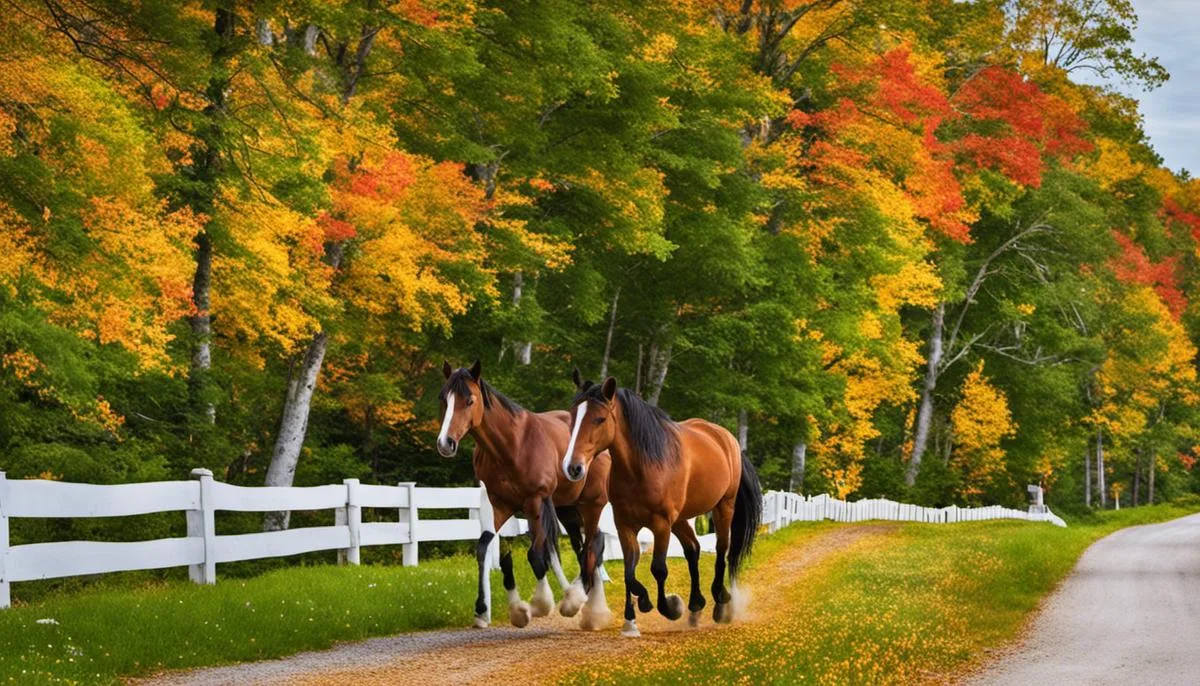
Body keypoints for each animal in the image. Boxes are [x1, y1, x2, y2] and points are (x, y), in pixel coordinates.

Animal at [436, 360, 613, 631]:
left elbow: (536, 555)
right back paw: (579, 599)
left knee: (594, 544)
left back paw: (588, 607)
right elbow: (485, 548)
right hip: (566, 507)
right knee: (579, 545)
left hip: (591, 503)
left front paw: (539, 604)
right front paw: (485, 610)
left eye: (469, 400)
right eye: (444, 399)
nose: (445, 443)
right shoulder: (500, 504)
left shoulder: (535, 501)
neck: (513, 444)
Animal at [560, 371, 762, 637]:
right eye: (573, 418)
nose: (573, 467)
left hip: (723, 508)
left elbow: (658, 568)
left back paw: (720, 603)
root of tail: (726, 439)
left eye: (600, 419)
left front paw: (670, 606)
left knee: (721, 549)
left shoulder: (661, 524)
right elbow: (629, 571)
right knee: (693, 549)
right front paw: (632, 616)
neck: (642, 467)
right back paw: (695, 605)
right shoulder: (625, 525)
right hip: (681, 518)